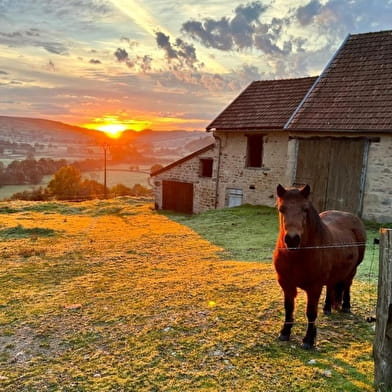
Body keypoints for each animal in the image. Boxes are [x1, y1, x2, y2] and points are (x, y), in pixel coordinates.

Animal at [272, 184, 368, 350]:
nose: (292, 239)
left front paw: (308, 340)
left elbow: (311, 313)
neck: (297, 256)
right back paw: (327, 308)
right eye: (281, 209)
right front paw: (285, 333)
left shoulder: (314, 288)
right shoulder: (286, 284)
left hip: (352, 270)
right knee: (331, 286)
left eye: (305, 209)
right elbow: (289, 308)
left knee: (347, 285)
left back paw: (346, 306)